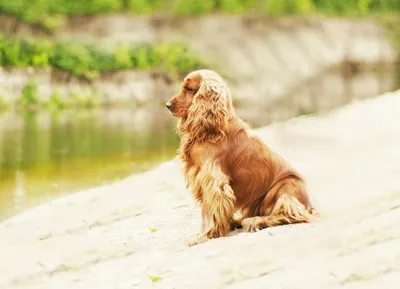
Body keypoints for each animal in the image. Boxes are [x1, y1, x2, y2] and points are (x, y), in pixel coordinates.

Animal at [165, 68, 316, 245]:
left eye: (189, 89)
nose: (167, 105)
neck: (213, 128)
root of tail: (310, 205)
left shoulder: (212, 179)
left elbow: (210, 211)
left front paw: (205, 235)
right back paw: (238, 220)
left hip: (285, 187)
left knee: (289, 215)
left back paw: (255, 221)